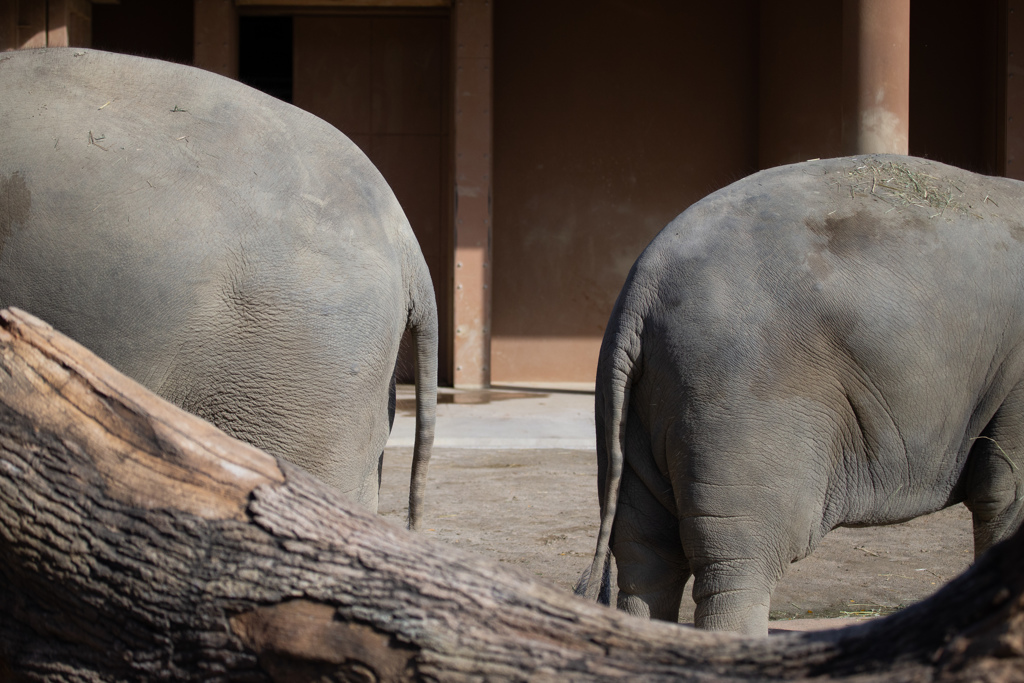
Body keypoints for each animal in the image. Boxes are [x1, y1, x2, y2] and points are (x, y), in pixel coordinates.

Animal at [585, 154, 1024, 634]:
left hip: (639, 415)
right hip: (738, 407)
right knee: (738, 562)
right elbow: (1006, 493)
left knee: (645, 553)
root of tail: (639, 297)